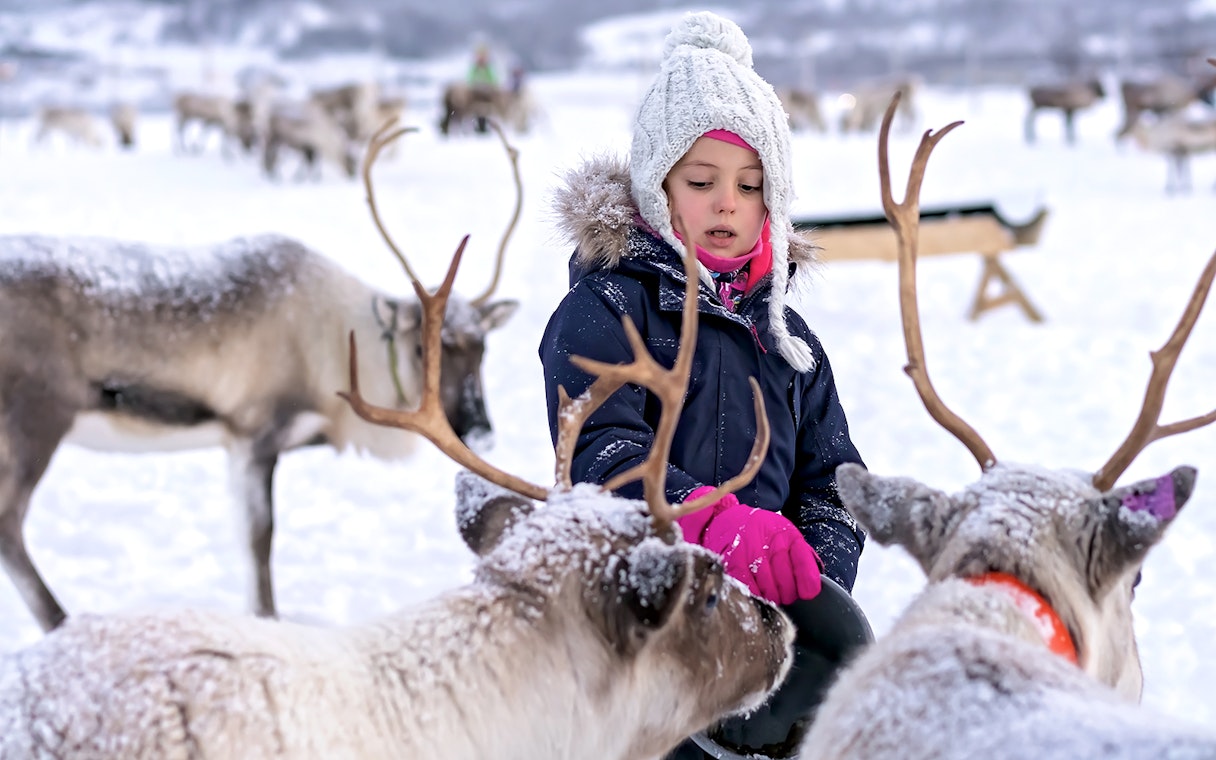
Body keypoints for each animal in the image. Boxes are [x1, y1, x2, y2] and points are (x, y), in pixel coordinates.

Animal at [0, 121, 524, 634]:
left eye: (482, 346)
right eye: (422, 346)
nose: (480, 430)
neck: (338, 350)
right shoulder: (255, 434)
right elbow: (260, 538)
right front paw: (268, 618)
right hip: (35, 422)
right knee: (9, 524)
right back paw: (60, 622)